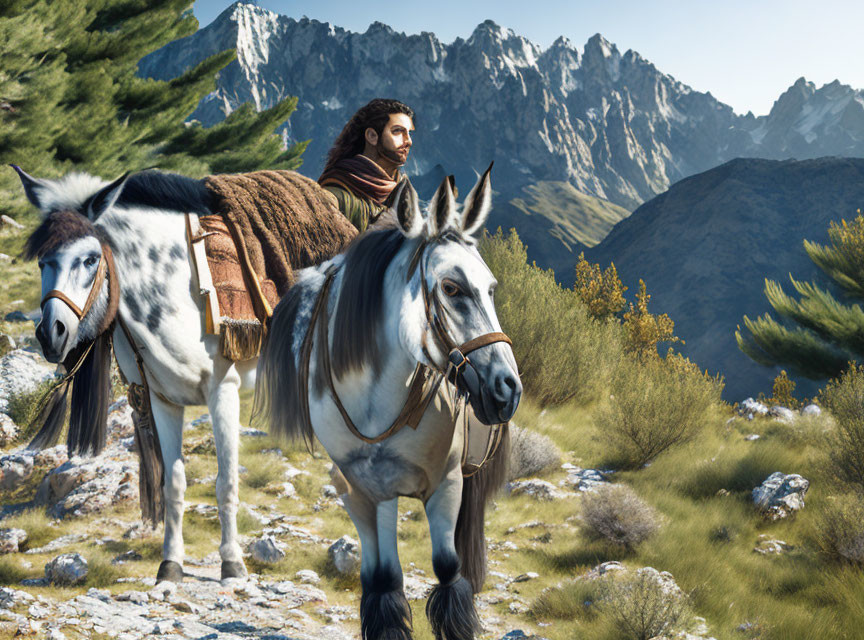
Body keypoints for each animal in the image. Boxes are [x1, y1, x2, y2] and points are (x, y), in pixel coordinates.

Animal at [255, 171, 520, 640]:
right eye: (451, 287)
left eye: (490, 289)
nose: (507, 388)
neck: (376, 407)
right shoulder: (362, 491)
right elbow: (383, 579)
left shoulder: (447, 484)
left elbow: (448, 570)